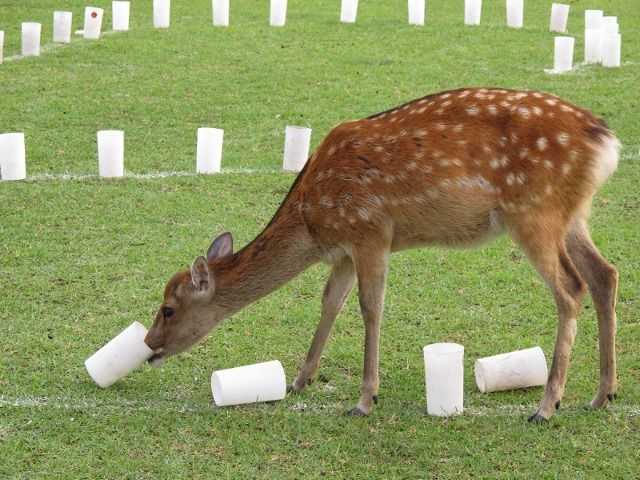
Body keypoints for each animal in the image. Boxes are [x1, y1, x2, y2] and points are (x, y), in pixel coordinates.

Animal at [145, 88, 620, 422]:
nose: (149, 344)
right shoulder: (341, 251)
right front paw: (300, 380)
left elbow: (370, 307)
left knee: (571, 287)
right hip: (573, 215)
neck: (312, 220)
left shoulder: (369, 231)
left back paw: (546, 406)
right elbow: (330, 302)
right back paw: (602, 394)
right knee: (605, 274)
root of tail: (608, 143)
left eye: (168, 309)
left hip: (534, 213)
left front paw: (364, 399)